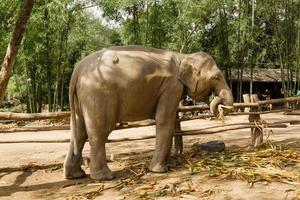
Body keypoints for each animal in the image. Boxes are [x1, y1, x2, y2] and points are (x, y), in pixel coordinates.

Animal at [62, 45, 232, 181]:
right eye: (216, 77)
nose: (217, 103)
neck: (183, 56)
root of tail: (77, 70)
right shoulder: (171, 87)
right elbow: (164, 119)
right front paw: (161, 170)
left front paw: (168, 164)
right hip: (99, 94)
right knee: (99, 132)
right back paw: (105, 177)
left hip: (82, 98)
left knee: (78, 132)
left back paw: (75, 175)